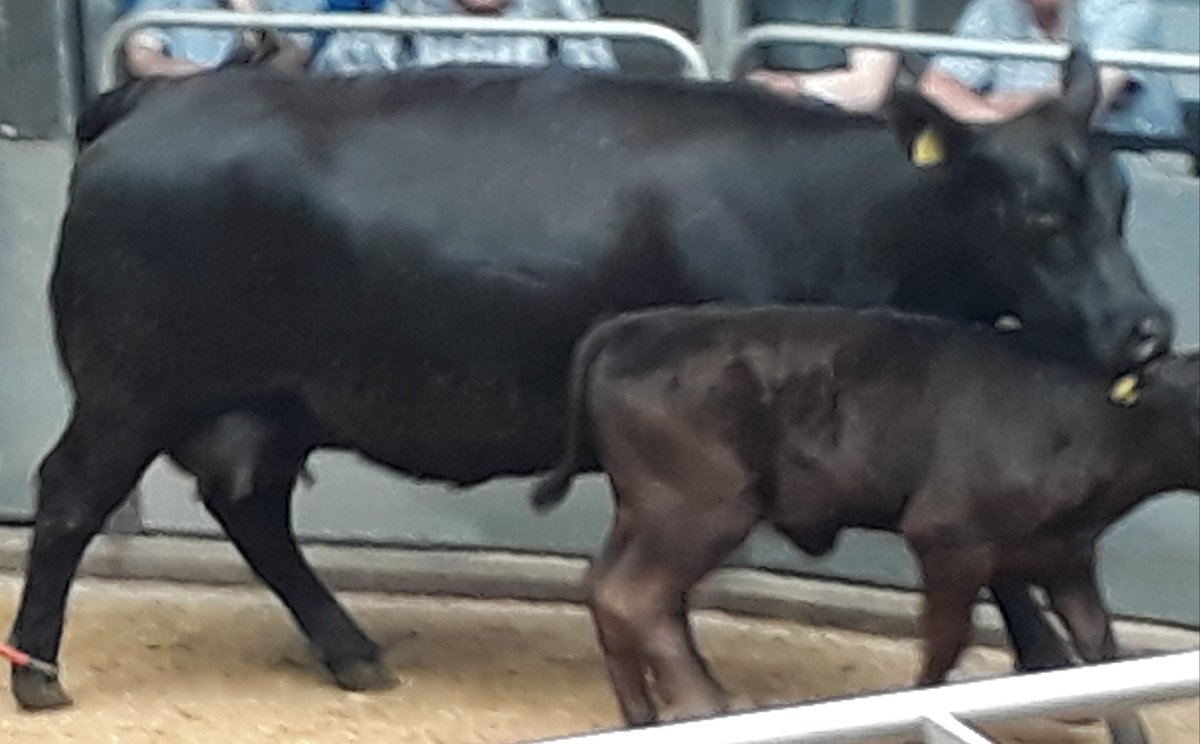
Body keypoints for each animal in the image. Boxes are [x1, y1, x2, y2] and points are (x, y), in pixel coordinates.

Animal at [6, 48, 1174, 712]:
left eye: (1119, 200)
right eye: (1039, 214)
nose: (1148, 331)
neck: (862, 215)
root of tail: (154, 102)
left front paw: (1055, 666)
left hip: (272, 402)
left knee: (250, 509)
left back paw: (352, 650)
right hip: (128, 389)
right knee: (68, 500)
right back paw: (40, 671)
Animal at [529, 304, 1199, 741]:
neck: (1094, 422)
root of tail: (637, 325)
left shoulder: (1066, 557)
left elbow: (1104, 655)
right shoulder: (949, 540)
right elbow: (943, 647)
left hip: (646, 511)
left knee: (606, 588)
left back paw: (642, 714)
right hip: (700, 508)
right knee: (634, 594)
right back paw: (703, 704)